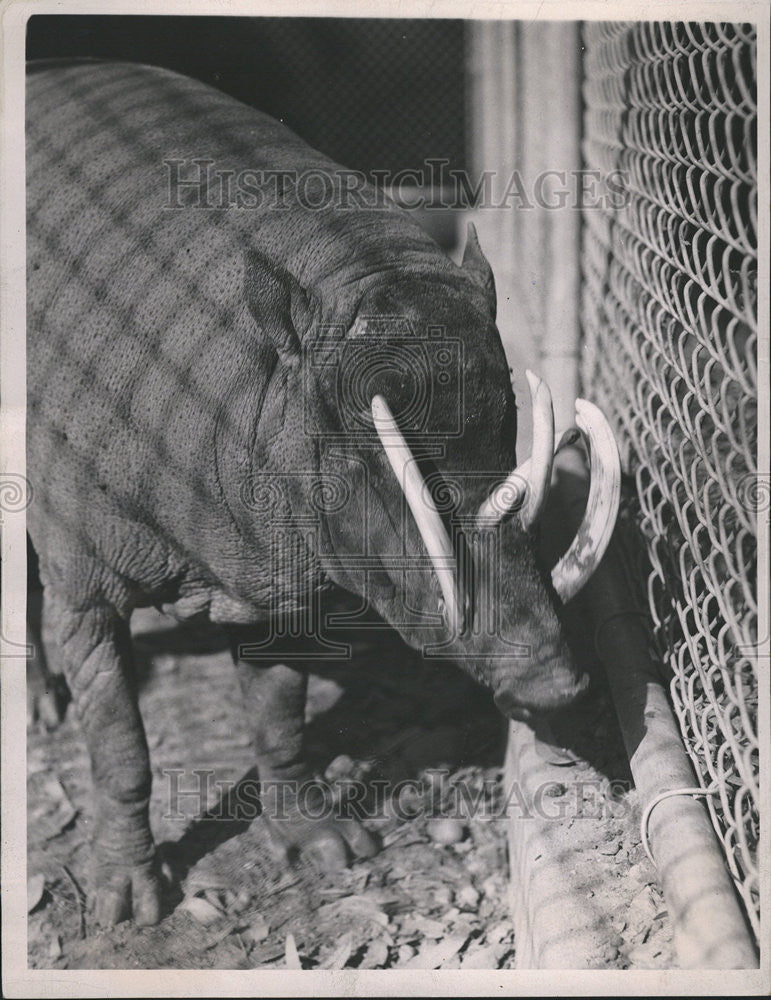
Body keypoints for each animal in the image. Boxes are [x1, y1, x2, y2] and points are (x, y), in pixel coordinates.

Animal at [25, 58, 620, 924]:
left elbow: (280, 721)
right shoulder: (84, 579)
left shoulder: (282, 585)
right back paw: (40, 705)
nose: (555, 682)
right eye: (360, 452)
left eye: (509, 424)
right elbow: (119, 746)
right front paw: (127, 899)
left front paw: (324, 846)